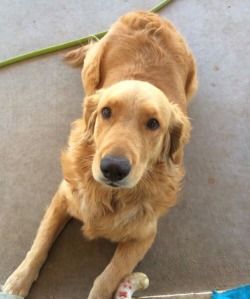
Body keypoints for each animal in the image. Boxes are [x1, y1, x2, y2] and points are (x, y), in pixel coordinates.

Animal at [2, 11, 197, 299]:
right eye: (106, 112)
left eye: (153, 123)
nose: (113, 168)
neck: (110, 196)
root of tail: (146, 14)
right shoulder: (63, 197)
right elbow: (40, 243)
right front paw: (17, 282)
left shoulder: (145, 235)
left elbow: (107, 278)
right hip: (91, 67)